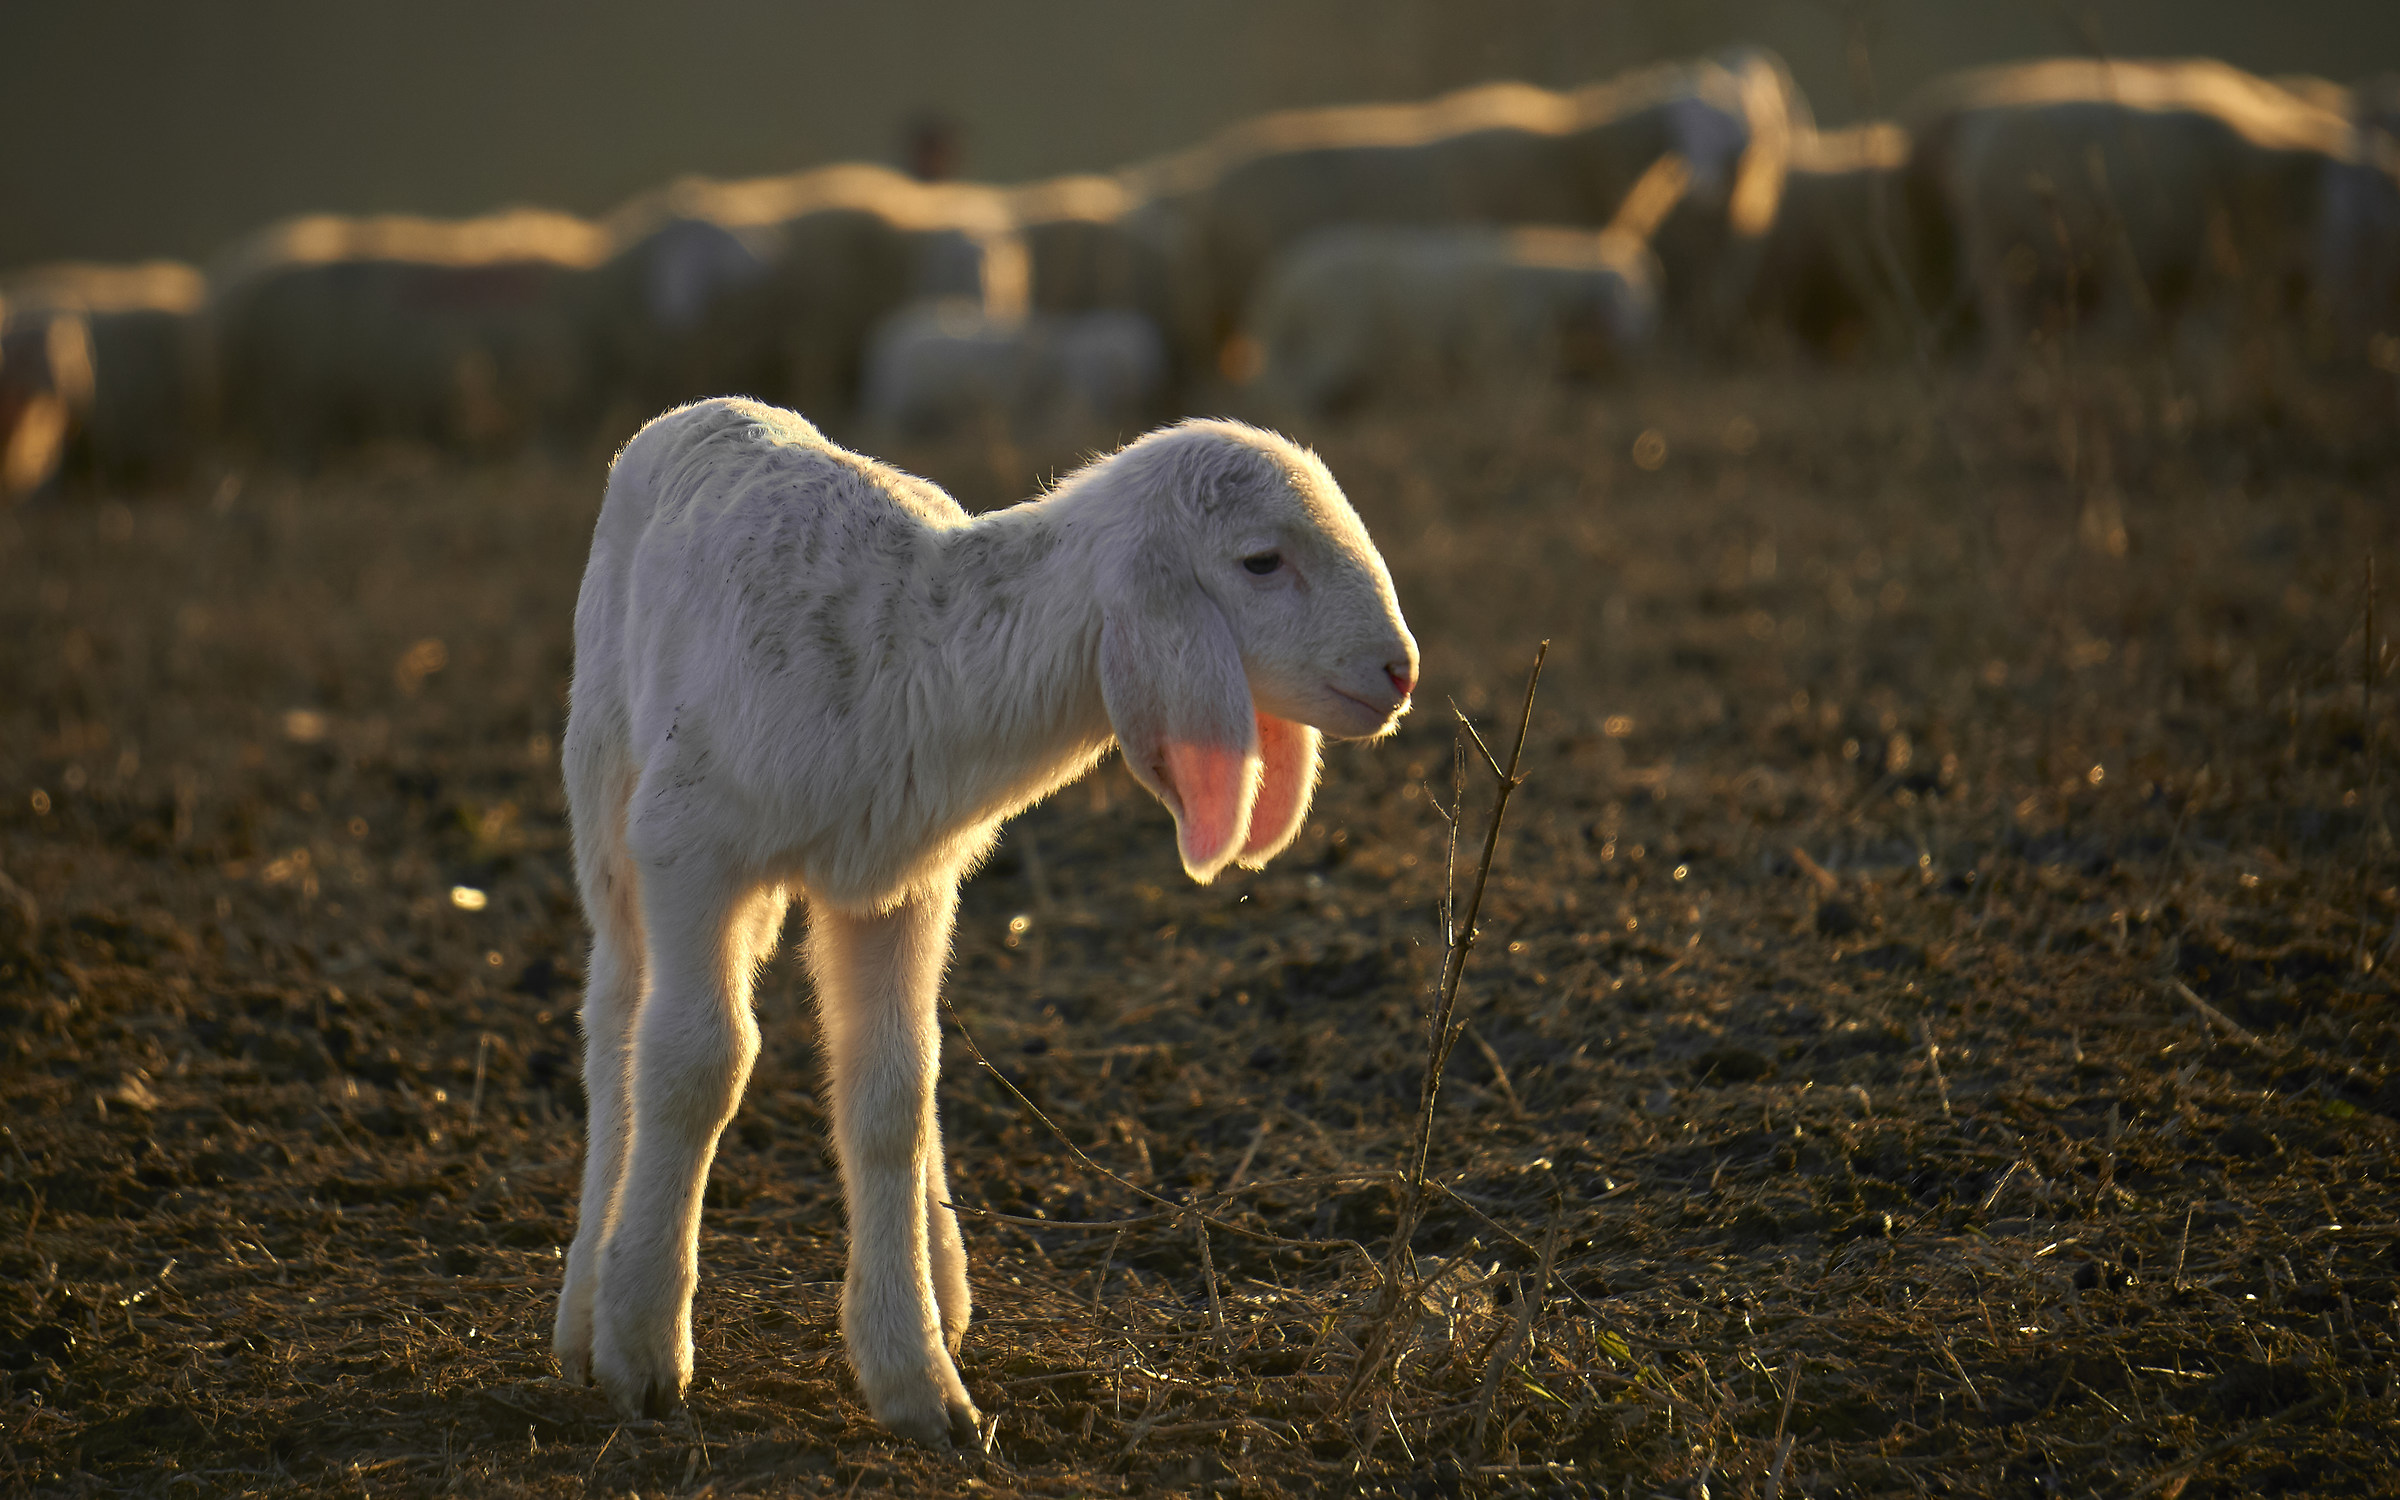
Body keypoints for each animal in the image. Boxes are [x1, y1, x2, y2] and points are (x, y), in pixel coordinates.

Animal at [555, 397, 1418, 1445]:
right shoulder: (690, 847)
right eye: (1262, 561)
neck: (918, 643)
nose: (1401, 672)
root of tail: (714, 406)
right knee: (618, 1024)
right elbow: (694, 1066)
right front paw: (644, 1348)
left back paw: (943, 1278)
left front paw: (916, 1376)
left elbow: (894, 1092)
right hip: (608, 788)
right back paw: (584, 1305)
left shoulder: (903, 886)